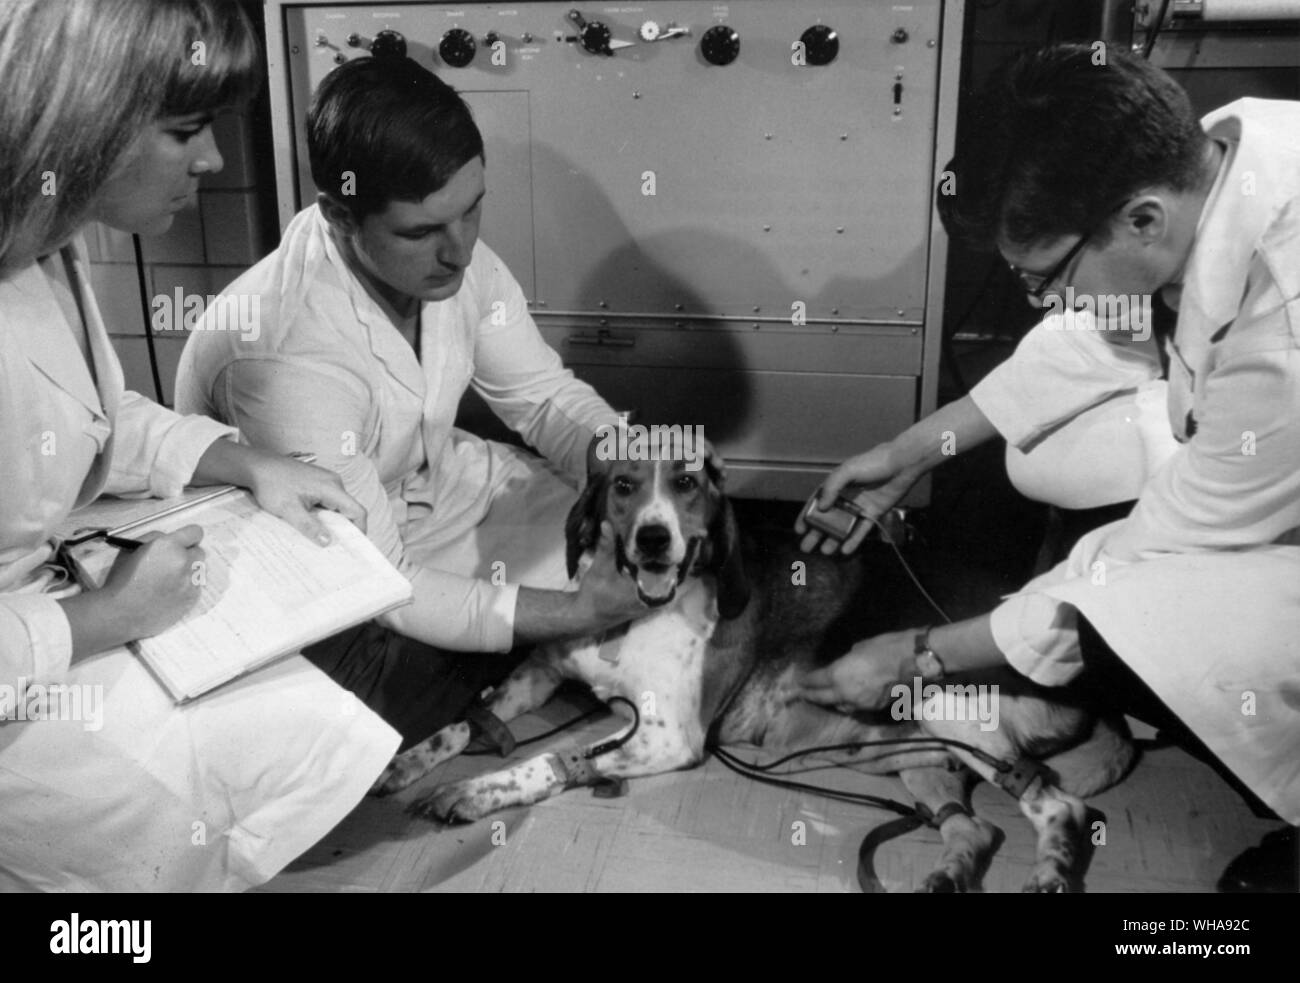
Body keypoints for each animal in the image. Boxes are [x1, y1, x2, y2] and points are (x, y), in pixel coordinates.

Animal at [371, 439, 1133, 889]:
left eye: (686, 484)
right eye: (622, 485)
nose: (654, 539)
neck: (634, 611)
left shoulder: (670, 736)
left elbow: (550, 759)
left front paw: (480, 790)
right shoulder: (539, 673)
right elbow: (463, 725)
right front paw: (403, 762)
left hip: (951, 708)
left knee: (1059, 804)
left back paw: (1052, 874)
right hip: (913, 755)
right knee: (976, 826)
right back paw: (946, 875)